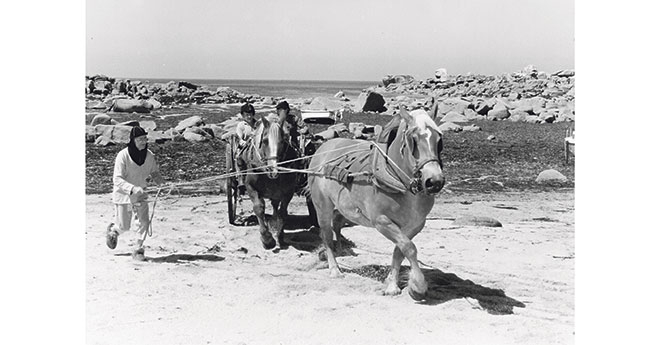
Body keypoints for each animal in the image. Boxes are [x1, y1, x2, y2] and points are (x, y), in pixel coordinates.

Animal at [237, 114, 300, 249]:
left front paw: (280, 235)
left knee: (275, 206)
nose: (273, 170)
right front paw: (267, 239)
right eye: (265, 141)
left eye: (282, 141)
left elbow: (283, 212)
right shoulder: (251, 187)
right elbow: (259, 208)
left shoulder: (288, 191)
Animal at [308, 107, 444, 298]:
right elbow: (409, 248)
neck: (398, 180)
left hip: (342, 207)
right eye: (414, 140)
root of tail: (322, 149)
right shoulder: (382, 221)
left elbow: (400, 251)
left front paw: (392, 284)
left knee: (337, 223)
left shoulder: (415, 225)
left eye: (439, 140)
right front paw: (418, 285)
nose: (435, 181)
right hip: (322, 206)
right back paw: (334, 269)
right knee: (326, 235)